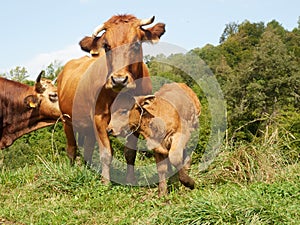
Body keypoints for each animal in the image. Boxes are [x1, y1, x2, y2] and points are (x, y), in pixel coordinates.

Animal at [56, 14, 164, 184]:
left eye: (136, 43)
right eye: (106, 46)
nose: (119, 80)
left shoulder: (136, 117)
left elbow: (130, 152)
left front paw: (130, 180)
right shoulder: (99, 118)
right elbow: (106, 152)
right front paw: (105, 182)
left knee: (87, 148)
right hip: (66, 120)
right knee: (71, 148)